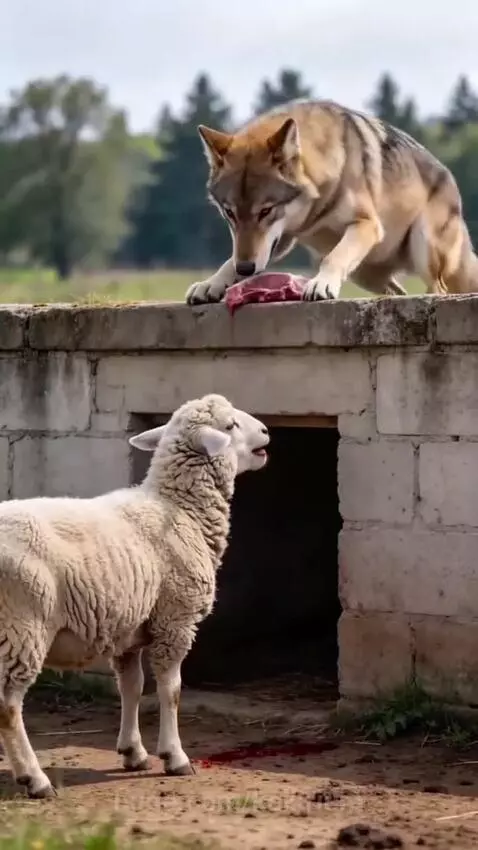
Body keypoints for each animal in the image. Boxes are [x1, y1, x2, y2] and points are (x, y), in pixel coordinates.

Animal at [0, 392, 270, 799]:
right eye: (230, 425)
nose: (267, 432)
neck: (179, 508)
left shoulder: (127, 627)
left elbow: (132, 688)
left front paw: (133, 753)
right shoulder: (176, 620)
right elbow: (171, 690)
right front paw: (175, 757)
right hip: (22, 626)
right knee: (8, 707)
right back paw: (35, 778)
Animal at [185, 99, 478, 304]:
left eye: (266, 211)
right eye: (230, 213)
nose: (246, 269)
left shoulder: (366, 225)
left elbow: (334, 258)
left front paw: (320, 285)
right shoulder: (282, 241)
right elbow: (228, 261)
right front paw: (210, 285)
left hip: (422, 246)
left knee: (438, 289)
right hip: (365, 272)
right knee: (398, 292)